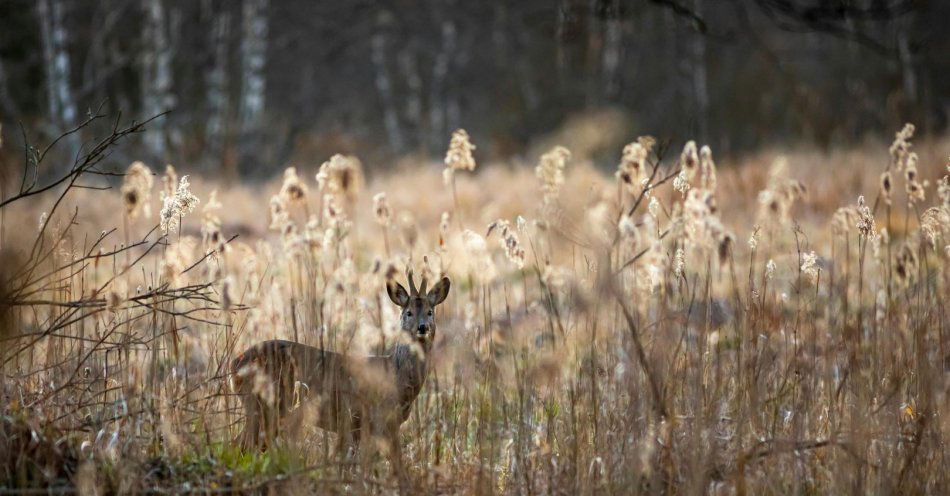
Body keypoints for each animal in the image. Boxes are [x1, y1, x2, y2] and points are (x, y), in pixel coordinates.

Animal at [232, 272, 452, 472]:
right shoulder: (368, 419)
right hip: (263, 405)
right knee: (242, 446)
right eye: (408, 313)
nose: (423, 327)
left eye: (430, 311)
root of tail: (234, 365)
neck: (396, 377)